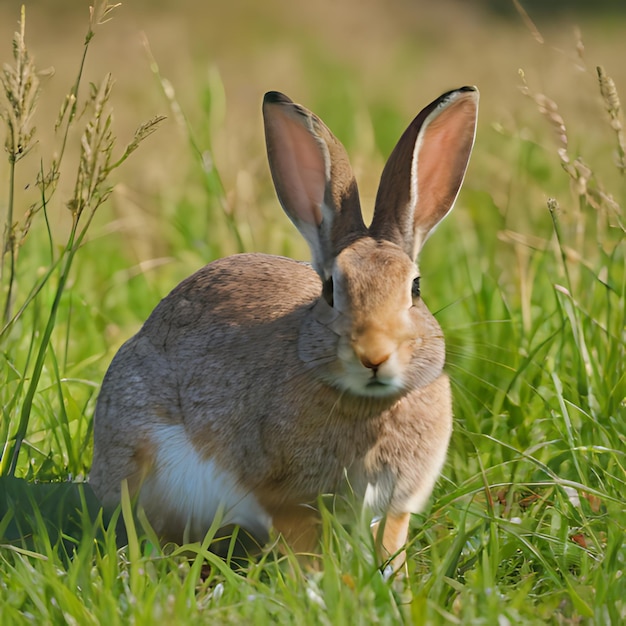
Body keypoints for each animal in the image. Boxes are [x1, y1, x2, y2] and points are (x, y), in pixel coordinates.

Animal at [89, 85, 478, 572]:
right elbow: (303, 549)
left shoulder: (394, 506)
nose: (374, 355)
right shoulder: (285, 499)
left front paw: (392, 583)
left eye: (416, 288)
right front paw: (320, 583)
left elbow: (390, 544)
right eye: (330, 290)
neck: (369, 404)